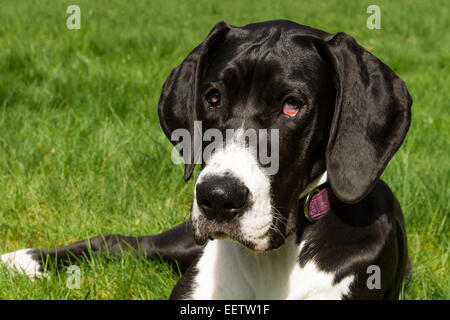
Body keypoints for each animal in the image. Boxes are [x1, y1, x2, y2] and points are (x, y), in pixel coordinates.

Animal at [1, 20, 414, 300]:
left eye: (292, 105)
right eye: (213, 98)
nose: (217, 197)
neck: (272, 260)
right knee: (120, 242)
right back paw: (21, 259)